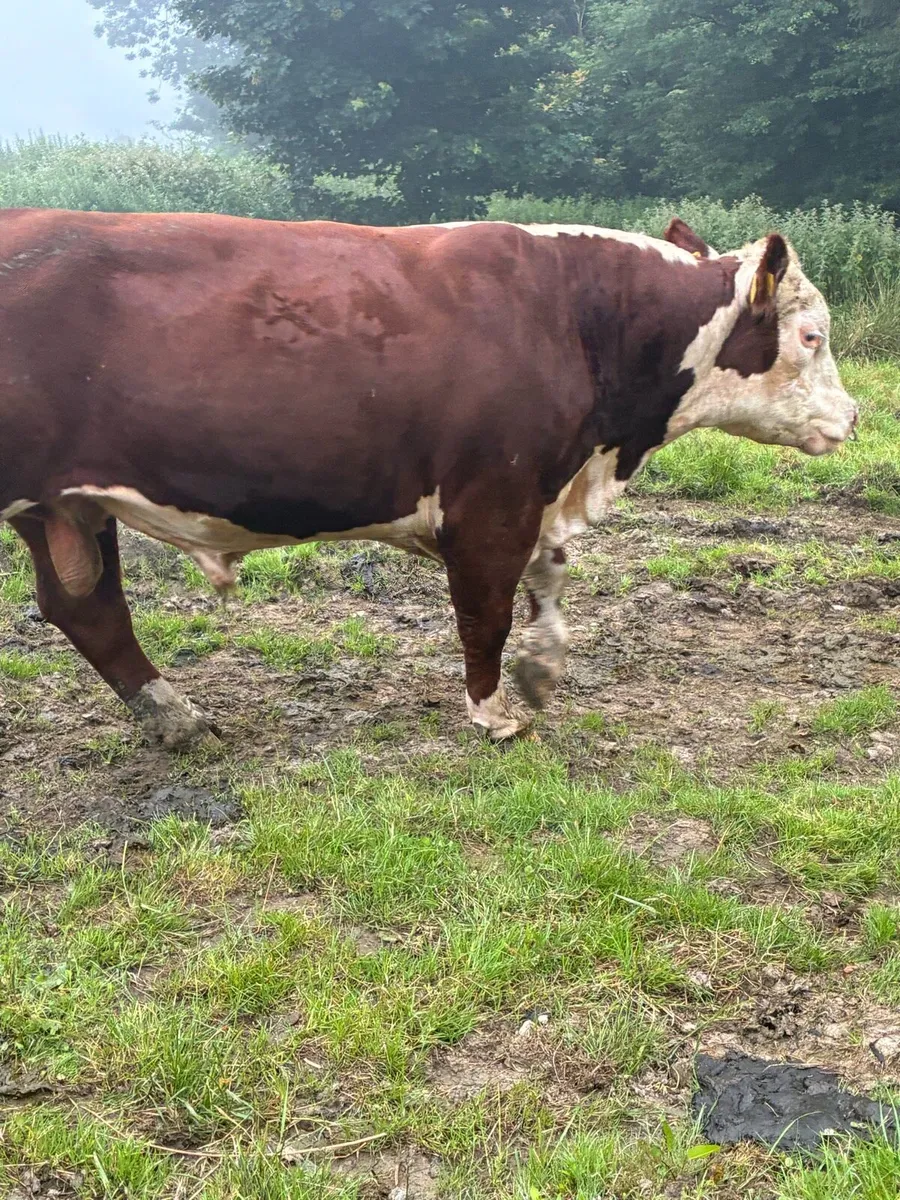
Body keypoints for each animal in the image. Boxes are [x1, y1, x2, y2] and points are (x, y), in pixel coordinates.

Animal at [0, 209, 857, 748]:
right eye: (812, 335)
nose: (853, 418)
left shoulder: (537, 495)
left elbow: (547, 583)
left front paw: (541, 672)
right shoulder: (492, 499)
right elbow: (487, 611)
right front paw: (494, 712)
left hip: (65, 503)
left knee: (85, 605)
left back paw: (176, 719)